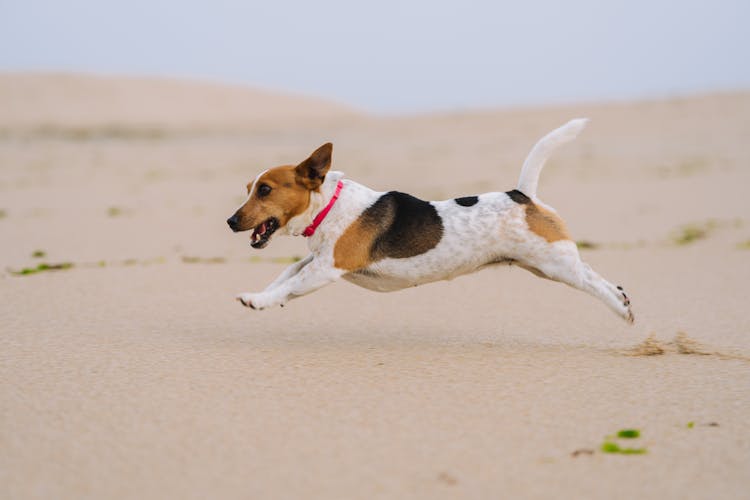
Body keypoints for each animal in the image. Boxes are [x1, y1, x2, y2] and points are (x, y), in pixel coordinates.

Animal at [228, 120, 636, 324]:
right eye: (249, 188)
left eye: (265, 190)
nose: (231, 221)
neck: (330, 205)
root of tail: (523, 195)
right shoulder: (315, 261)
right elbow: (285, 275)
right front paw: (264, 294)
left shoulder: (327, 268)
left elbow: (289, 285)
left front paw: (257, 301)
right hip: (546, 265)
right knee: (599, 277)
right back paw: (623, 300)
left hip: (555, 264)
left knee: (597, 284)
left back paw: (622, 310)